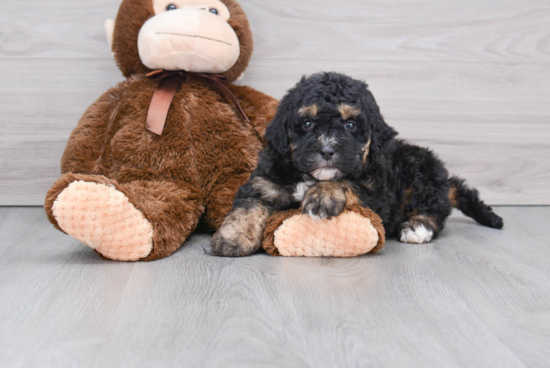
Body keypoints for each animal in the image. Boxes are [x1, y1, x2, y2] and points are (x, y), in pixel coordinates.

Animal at [212, 71, 504, 256]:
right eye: (307, 123)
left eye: (350, 125)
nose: (327, 150)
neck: (311, 176)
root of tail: (444, 179)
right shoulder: (266, 182)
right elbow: (248, 207)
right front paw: (233, 238)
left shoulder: (376, 190)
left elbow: (346, 181)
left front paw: (323, 196)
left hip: (419, 175)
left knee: (434, 209)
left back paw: (417, 227)